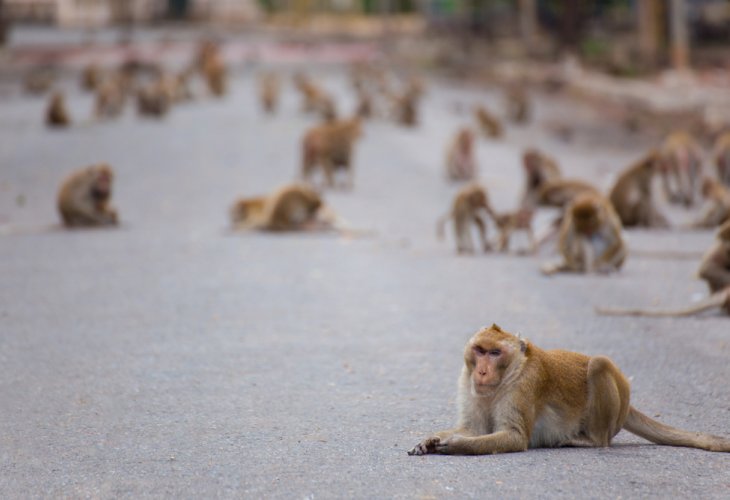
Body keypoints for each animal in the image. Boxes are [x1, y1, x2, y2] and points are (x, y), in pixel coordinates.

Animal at [404, 322, 728, 456]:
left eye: (495, 353)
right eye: (480, 351)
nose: (482, 371)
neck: (510, 372)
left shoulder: (524, 386)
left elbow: (514, 437)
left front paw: (456, 445)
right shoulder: (466, 380)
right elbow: (473, 428)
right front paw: (431, 440)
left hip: (615, 400)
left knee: (598, 365)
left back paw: (591, 441)